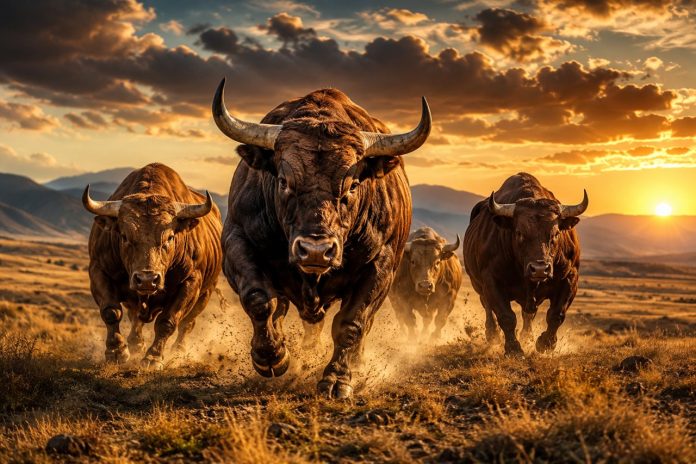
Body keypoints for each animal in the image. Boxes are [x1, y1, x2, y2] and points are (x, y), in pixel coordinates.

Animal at [82, 163, 223, 368]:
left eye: (170, 237)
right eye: (124, 236)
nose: (147, 279)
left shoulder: (191, 283)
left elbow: (168, 322)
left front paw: (153, 357)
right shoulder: (99, 271)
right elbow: (111, 312)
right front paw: (116, 351)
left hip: (207, 292)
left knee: (187, 323)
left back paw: (179, 351)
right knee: (135, 317)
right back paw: (135, 344)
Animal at [211, 78, 431, 398]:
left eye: (352, 184)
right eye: (283, 181)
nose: (315, 251)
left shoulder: (382, 266)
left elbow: (351, 324)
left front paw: (337, 379)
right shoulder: (237, 242)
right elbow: (259, 300)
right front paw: (271, 356)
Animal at [463, 172, 588, 356]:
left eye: (555, 233)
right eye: (519, 233)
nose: (540, 269)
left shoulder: (570, 279)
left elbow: (556, 314)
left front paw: (545, 343)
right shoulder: (491, 282)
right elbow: (506, 316)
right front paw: (513, 348)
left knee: (528, 314)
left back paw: (527, 336)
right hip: (478, 285)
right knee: (488, 308)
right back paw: (492, 335)